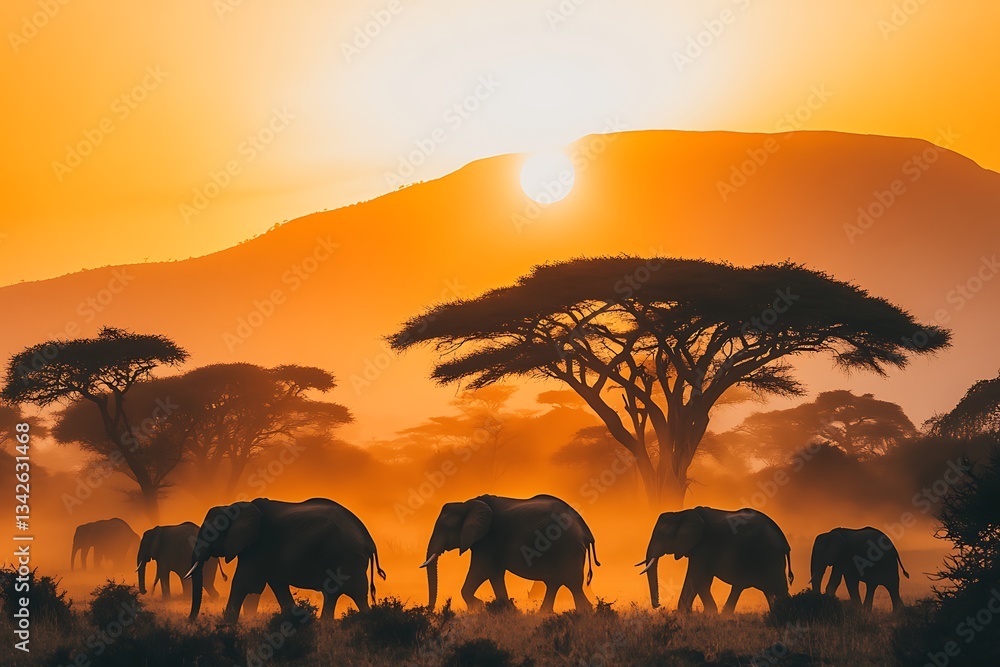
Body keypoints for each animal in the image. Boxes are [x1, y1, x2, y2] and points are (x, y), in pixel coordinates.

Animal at [185, 497, 386, 623]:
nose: (190, 621)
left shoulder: (259, 544)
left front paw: (227, 626)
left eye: (210, 533)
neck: (235, 506)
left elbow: (243, 582)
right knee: (341, 594)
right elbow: (275, 584)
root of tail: (370, 542)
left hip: (346, 559)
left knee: (353, 593)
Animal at [420, 494, 600, 613]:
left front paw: (479, 606)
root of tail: (586, 531)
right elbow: (495, 575)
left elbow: (482, 571)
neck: (466, 504)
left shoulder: (488, 539)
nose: (429, 611)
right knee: (554, 583)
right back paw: (544, 615)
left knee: (572, 584)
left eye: (445, 528)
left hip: (568, 547)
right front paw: (507, 609)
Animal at [638, 506, 793, 613]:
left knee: (777, 589)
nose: (659, 605)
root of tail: (784, 541)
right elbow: (703, 581)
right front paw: (707, 613)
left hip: (770, 556)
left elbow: (696, 577)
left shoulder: (704, 546)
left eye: (661, 535)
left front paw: (685, 614)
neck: (681, 513)